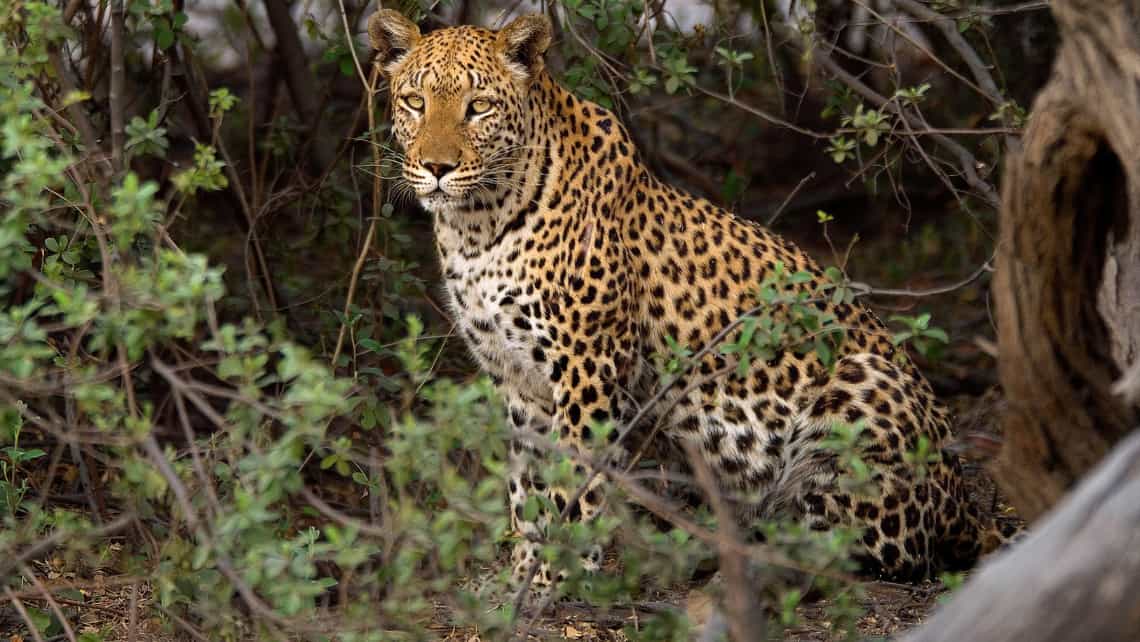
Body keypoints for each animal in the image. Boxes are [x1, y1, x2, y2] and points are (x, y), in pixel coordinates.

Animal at [367, 8, 1007, 592]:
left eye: (478, 107)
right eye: (416, 103)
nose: (437, 168)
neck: (477, 225)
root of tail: (965, 506)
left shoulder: (588, 367)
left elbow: (574, 484)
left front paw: (557, 579)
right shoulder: (517, 378)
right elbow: (527, 485)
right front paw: (520, 576)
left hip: (861, 383)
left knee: (874, 549)